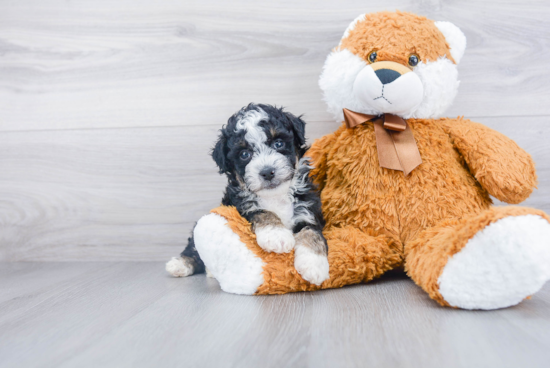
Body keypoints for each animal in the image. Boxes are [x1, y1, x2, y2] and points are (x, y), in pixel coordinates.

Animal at [166, 103, 330, 284]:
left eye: (278, 143)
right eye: (244, 154)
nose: (267, 172)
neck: (275, 196)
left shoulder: (308, 211)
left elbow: (312, 232)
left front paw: (314, 265)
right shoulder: (239, 206)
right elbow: (262, 211)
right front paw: (276, 235)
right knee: (194, 246)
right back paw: (180, 264)